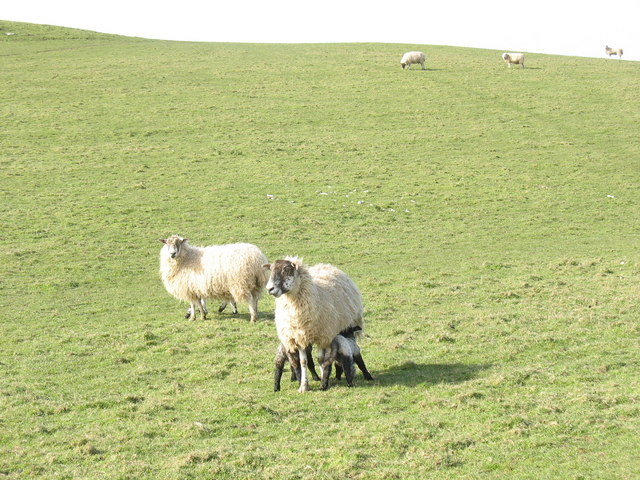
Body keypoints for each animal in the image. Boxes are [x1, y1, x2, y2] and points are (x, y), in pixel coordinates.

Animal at [264, 256, 364, 392]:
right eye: (271, 269)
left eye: (287, 269)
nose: (269, 289)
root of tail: (327, 265)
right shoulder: (298, 337)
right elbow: (303, 362)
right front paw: (303, 386)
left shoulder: (323, 335)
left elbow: (321, 359)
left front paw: (324, 379)